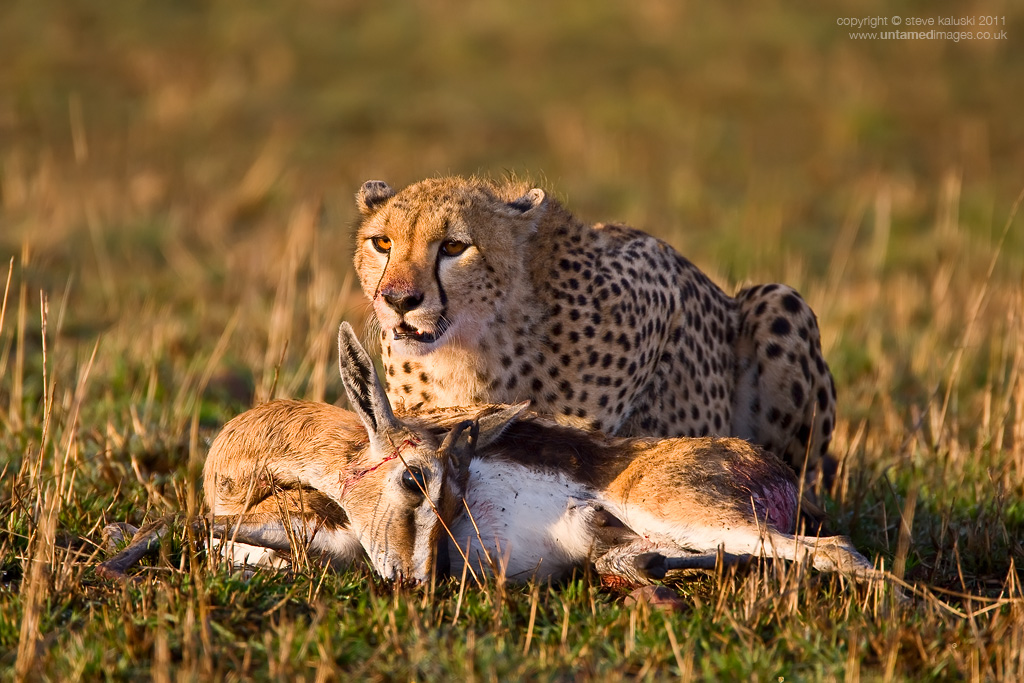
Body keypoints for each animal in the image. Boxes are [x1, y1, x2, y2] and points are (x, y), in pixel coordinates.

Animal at [352, 176, 838, 487]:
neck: (471, 346)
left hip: (779, 300)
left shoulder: (659, 277)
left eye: (454, 246)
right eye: (383, 243)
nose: (397, 300)